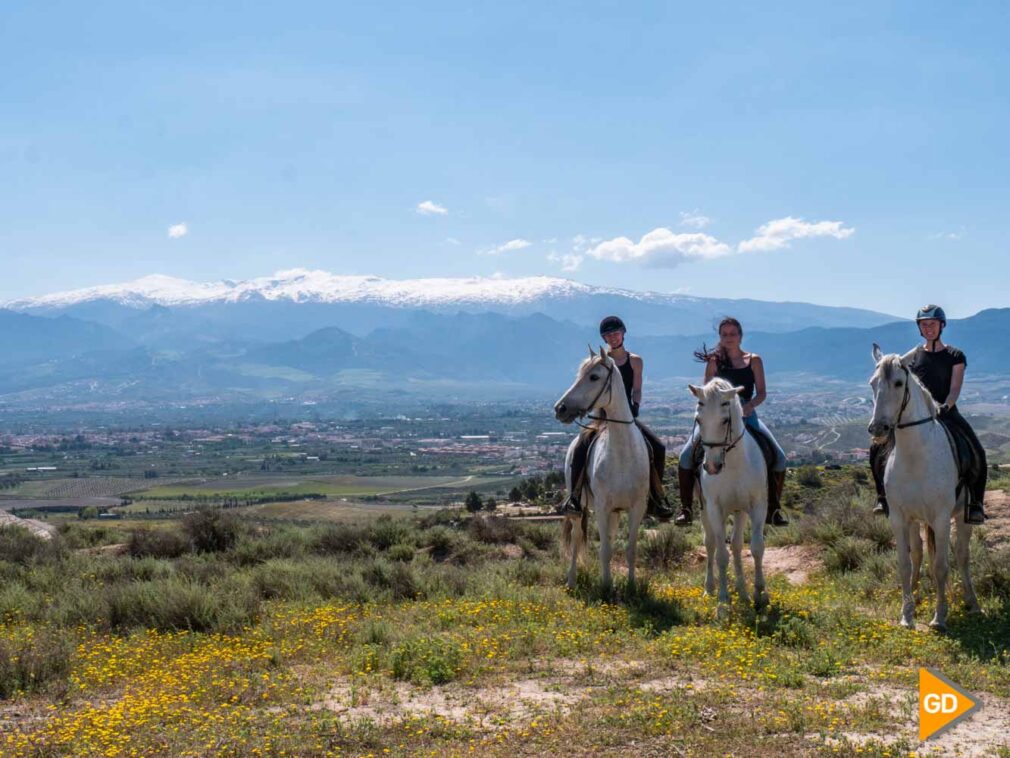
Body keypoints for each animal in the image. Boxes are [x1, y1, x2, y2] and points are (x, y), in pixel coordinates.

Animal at [553, 347, 646, 590]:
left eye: (594, 377)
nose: (560, 408)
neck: (622, 455)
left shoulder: (636, 509)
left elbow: (630, 550)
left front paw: (631, 587)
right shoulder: (602, 508)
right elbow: (604, 550)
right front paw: (606, 587)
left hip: (615, 513)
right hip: (580, 507)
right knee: (577, 539)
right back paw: (572, 580)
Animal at [690, 380, 767, 610]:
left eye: (725, 420)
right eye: (699, 419)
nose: (711, 467)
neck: (733, 463)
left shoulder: (757, 506)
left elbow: (756, 548)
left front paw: (760, 593)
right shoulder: (715, 508)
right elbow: (721, 555)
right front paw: (723, 602)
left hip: (739, 511)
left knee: (736, 545)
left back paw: (743, 592)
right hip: (705, 510)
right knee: (710, 543)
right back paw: (709, 589)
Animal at [868, 343, 977, 630]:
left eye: (898, 382)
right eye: (872, 383)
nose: (877, 428)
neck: (916, 456)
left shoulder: (940, 517)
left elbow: (941, 566)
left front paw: (939, 617)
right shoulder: (898, 517)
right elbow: (905, 563)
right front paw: (907, 613)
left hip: (963, 517)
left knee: (962, 555)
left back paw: (973, 602)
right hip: (916, 519)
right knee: (918, 553)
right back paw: (916, 594)